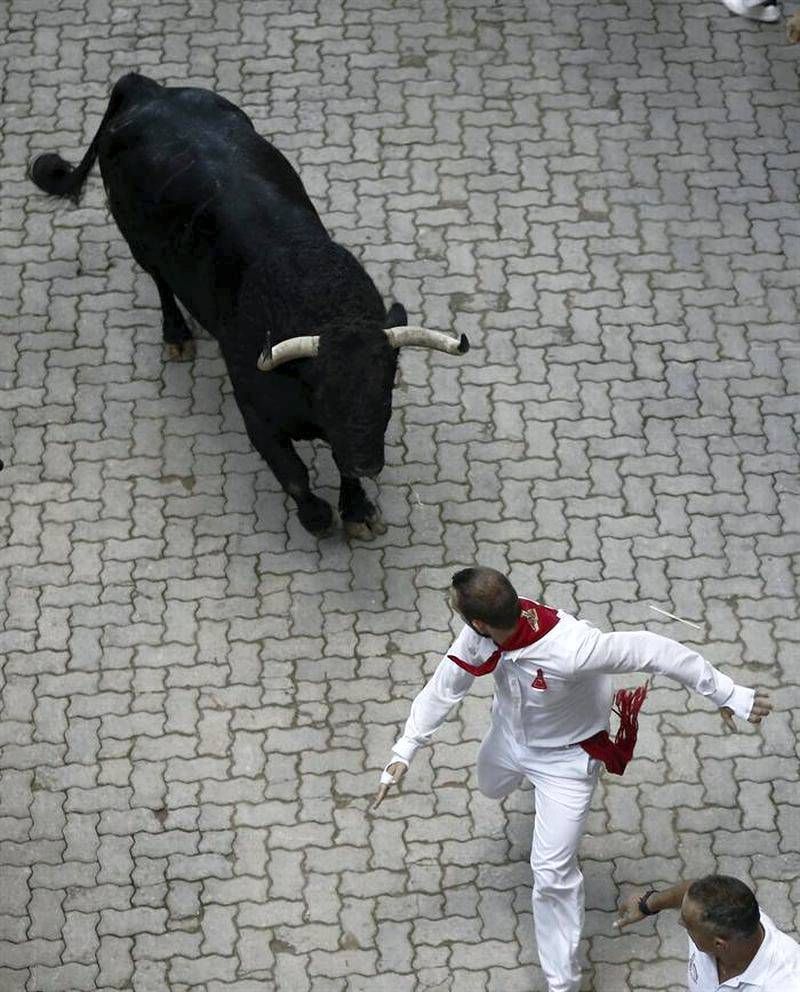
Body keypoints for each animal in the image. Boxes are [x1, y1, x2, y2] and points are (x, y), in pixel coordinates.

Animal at [31, 73, 468, 540]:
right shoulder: (255, 412)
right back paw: (177, 335)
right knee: (161, 282)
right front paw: (317, 517)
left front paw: (358, 511)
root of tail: (144, 89)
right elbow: (293, 473)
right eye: (328, 395)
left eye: (385, 391)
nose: (368, 463)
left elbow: (337, 462)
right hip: (137, 240)